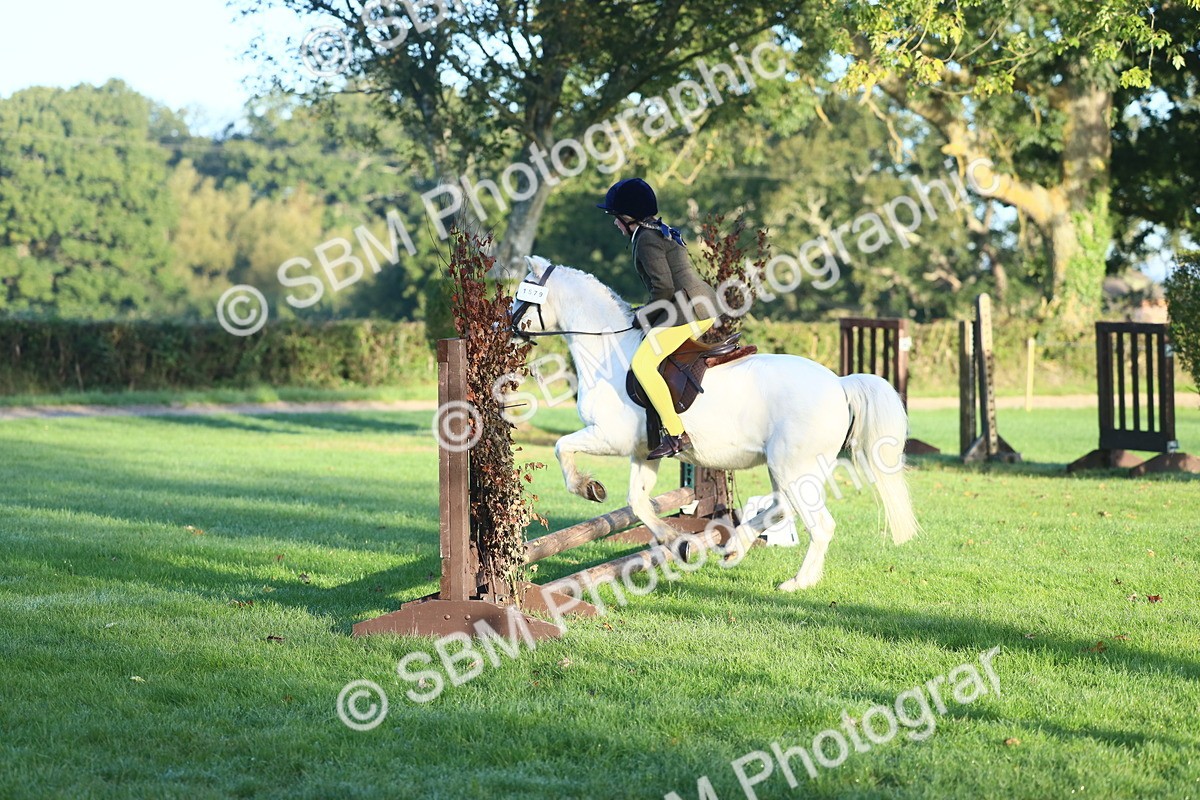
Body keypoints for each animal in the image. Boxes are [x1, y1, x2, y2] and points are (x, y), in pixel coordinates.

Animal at [509, 256, 918, 591]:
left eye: (521, 295)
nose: (508, 329)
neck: (608, 353)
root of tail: (839, 383)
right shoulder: (644, 453)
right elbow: (638, 503)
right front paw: (678, 542)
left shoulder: (609, 438)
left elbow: (562, 447)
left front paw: (587, 487)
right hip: (787, 467)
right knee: (781, 508)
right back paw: (735, 547)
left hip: (793, 466)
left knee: (818, 524)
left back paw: (797, 582)